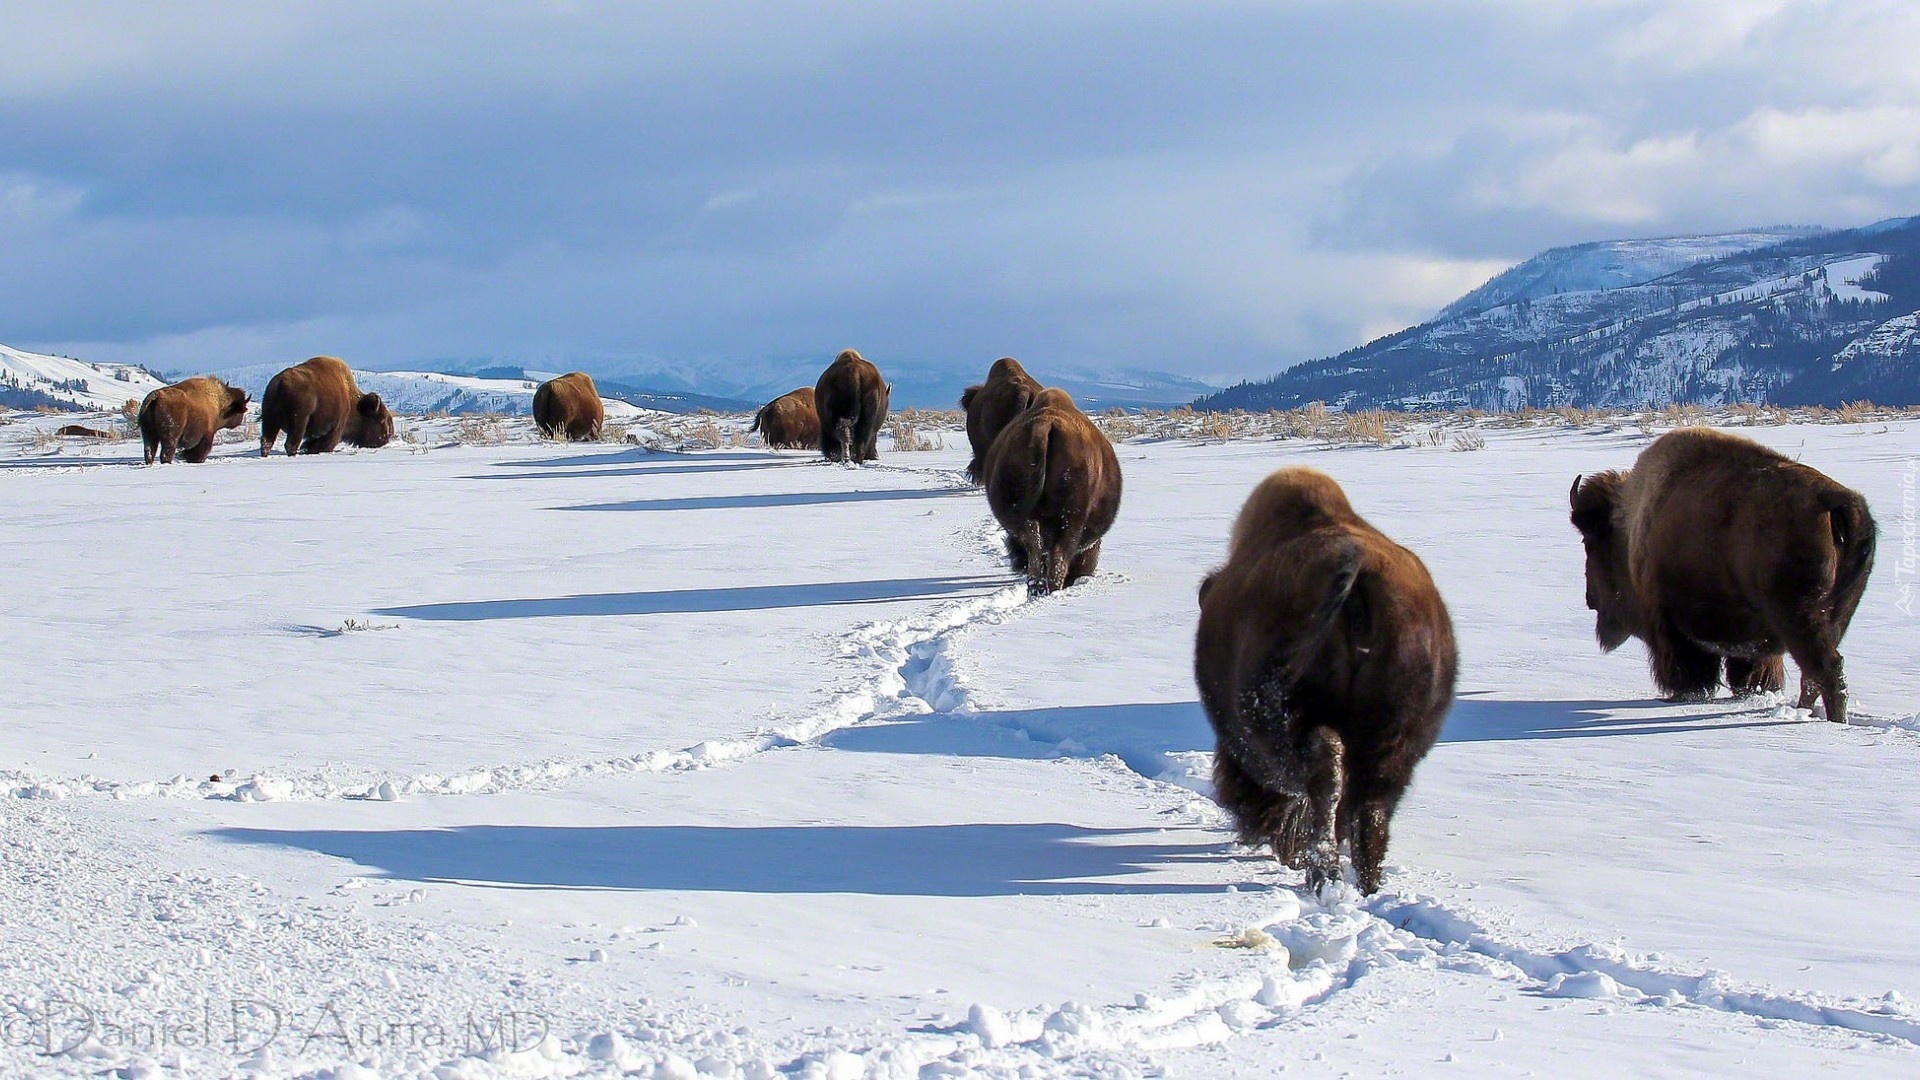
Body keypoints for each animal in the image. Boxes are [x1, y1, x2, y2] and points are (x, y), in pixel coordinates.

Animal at [259, 353, 393, 453]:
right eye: (381, 419)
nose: (387, 436)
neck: (353, 403)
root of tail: (281, 382)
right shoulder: (335, 430)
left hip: (269, 419)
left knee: (267, 441)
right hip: (299, 421)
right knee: (291, 443)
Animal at [1198, 463, 1451, 891]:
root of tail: (1359, 573)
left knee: (1324, 780)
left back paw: (1321, 872)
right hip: (1392, 747)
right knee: (1369, 810)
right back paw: (1363, 885)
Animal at [1574, 424, 1873, 718]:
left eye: (1589, 543)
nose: (1590, 599)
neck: (1631, 526)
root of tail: (1836, 501)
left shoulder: (1669, 623)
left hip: (1798, 617)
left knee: (1826, 670)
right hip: (1834, 618)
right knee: (1813, 676)